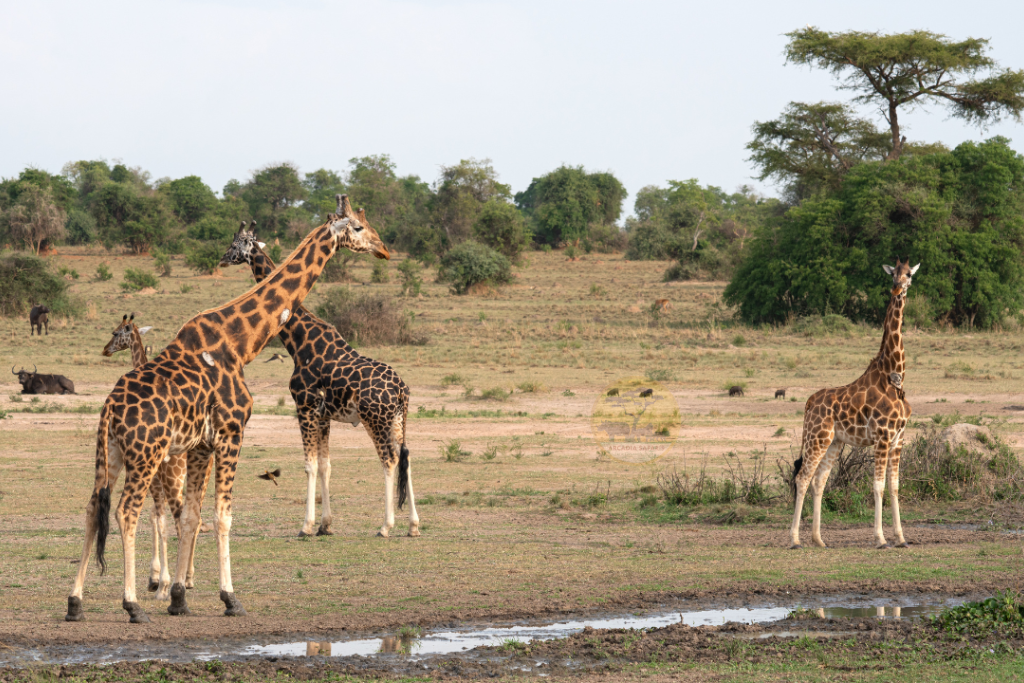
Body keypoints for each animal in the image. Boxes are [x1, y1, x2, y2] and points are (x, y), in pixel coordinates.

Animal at [67, 194, 387, 622]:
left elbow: (191, 515)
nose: (383, 249)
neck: (240, 344)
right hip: (146, 454)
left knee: (91, 509)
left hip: (111, 454)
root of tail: (109, 410)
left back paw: (75, 602)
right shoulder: (232, 433)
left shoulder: (201, 444)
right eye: (357, 227)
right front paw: (229, 597)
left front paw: (179, 596)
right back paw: (132, 604)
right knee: (125, 512)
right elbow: (222, 516)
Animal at [221, 202, 419, 540]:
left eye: (236, 245)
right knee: (406, 458)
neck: (299, 340)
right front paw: (326, 525)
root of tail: (402, 389)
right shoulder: (324, 415)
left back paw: (385, 526)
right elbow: (326, 465)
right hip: (398, 419)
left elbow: (310, 465)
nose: (222, 258)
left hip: (375, 419)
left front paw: (306, 526)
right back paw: (414, 525)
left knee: (390, 459)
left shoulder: (305, 406)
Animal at [790, 258, 921, 548]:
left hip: (834, 442)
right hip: (816, 437)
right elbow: (878, 486)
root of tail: (808, 403)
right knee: (802, 477)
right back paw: (794, 539)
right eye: (892, 274)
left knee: (819, 480)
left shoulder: (899, 438)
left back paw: (819, 539)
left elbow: (894, 486)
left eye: (908, 274)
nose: (897, 289)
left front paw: (901, 538)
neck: (895, 375)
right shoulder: (882, 437)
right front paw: (880, 539)